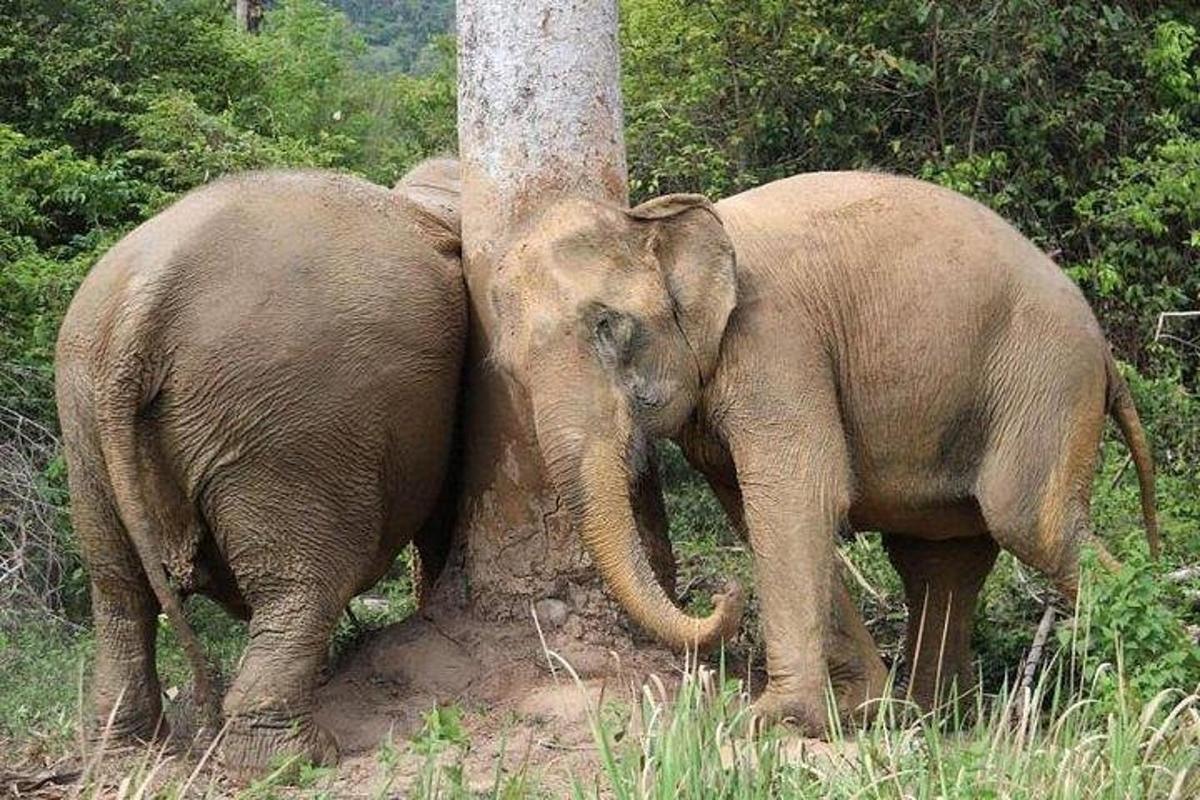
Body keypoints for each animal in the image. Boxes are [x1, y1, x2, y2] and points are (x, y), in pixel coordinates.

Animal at [58, 160, 465, 777]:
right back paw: (293, 759)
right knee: (303, 581)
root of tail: (140, 305)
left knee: (118, 587)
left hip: (83, 416)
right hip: (292, 427)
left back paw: (128, 753)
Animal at [484, 172, 1152, 734]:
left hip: (1045, 381)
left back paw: (1143, 704)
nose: (721, 593)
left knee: (1031, 526)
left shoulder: (776, 344)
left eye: (608, 326)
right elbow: (758, 509)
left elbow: (797, 497)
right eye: (507, 369)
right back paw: (930, 721)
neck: (658, 218)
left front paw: (770, 720)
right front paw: (859, 710)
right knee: (940, 563)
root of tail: (1103, 349)